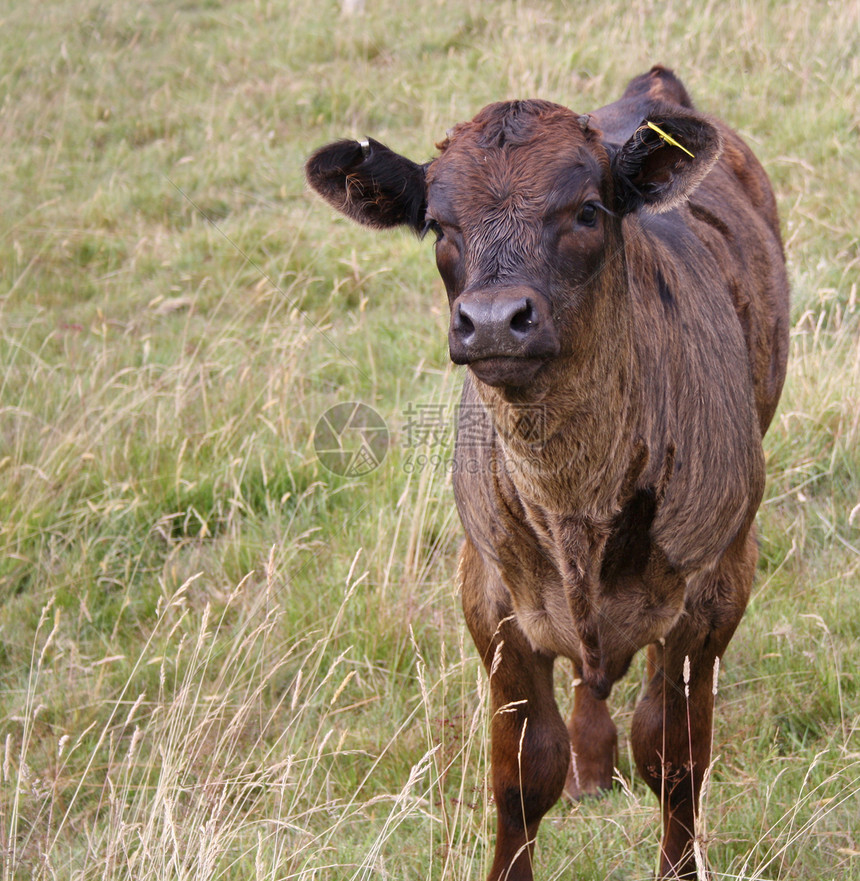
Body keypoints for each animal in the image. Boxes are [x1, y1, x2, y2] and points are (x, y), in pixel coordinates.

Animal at [306, 69, 788, 880]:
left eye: (587, 210)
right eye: (438, 225)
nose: (496, 320)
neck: (576, 505)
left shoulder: (717, 586)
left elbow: (675, 757)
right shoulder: (489, 593)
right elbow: (524, 773)